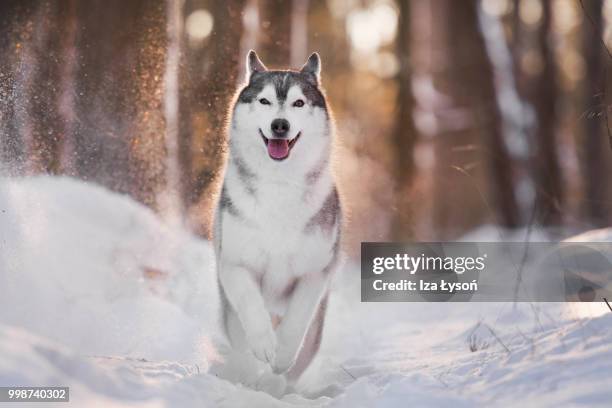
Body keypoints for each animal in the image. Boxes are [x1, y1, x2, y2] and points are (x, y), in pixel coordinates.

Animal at [213, 50, 342, 396]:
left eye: (298, 103)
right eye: (265, 101)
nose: (280, 125)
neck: (279, 185)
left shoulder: (314, 273)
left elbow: (296, 321)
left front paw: (280, 356)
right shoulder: (235, 264)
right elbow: (251, 307)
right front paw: (264, 347)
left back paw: (273, 383)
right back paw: (248, 376)